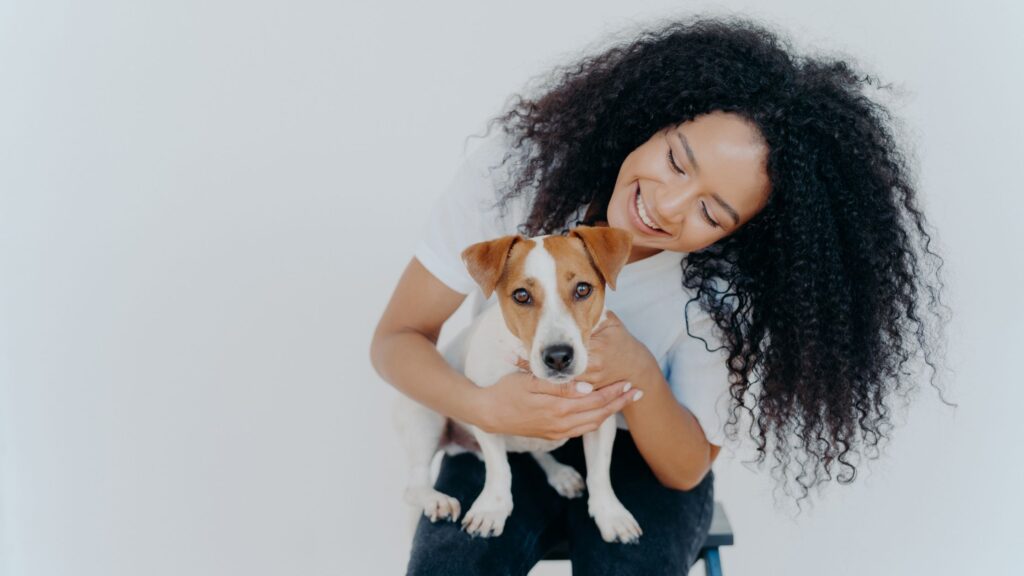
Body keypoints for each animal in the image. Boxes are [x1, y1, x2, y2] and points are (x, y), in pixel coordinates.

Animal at [391, 225, 638, 541]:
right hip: (424, 417)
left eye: (583, 289)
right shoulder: (486, 411)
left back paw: (559, 473)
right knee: (413, 486)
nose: (558, 357)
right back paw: (436, 500)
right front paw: (492, 510)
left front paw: (610, 514)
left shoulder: (602, 417)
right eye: (521, 295)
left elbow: (599, 472)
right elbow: (499, 470)